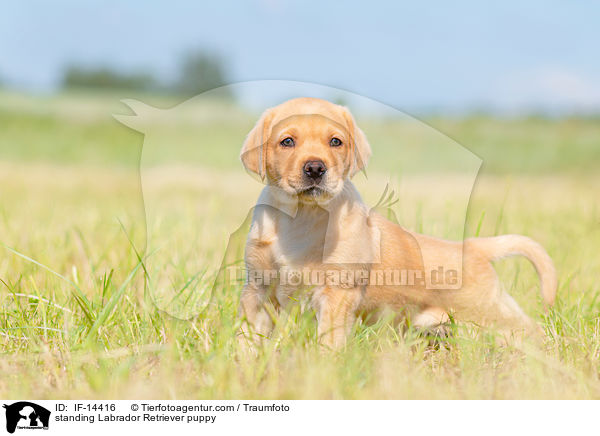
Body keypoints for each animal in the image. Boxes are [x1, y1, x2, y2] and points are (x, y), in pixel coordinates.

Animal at [237, 97, 556, 350]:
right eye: (287, 141)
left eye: (335, 142)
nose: (315, 168)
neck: (301, 216)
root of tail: (474, 247)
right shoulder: (258, 288)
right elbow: (248, 333)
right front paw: (245, 362)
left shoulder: (337, 294)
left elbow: (329, 339)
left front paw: (323, 366)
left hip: (492, 314)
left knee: (530, 329)